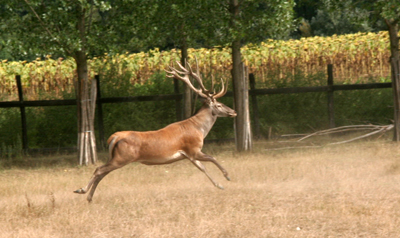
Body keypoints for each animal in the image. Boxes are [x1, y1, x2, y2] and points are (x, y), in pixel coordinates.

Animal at [73, 60, 236, 202]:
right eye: (219, 105)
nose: (233, 111)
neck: (199, 129)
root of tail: (114, 137)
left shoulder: (189, 155)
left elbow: (202, 168)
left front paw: (219, 185)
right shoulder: (193, 148)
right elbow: (212, 158)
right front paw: (227, 176)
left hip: (115, 157)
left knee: (102, 172)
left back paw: (89, 197)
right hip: (122, 157)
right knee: (99, 170)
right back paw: (81, 190)